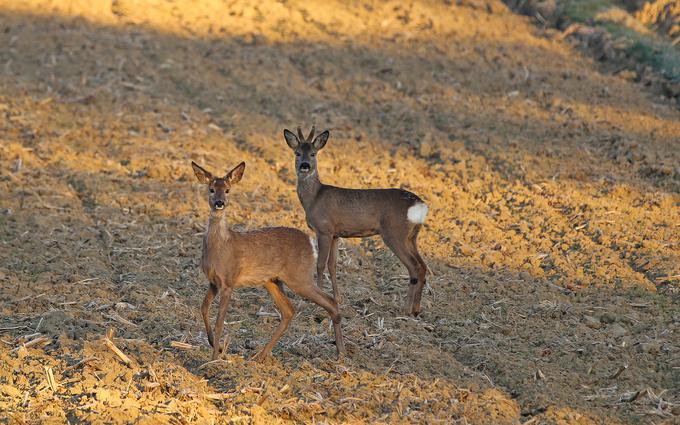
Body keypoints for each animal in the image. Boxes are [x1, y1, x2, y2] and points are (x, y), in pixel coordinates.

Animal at [191, 161, 346, 360]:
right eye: (211, 189)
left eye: (227, 190)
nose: (219, 203)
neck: (220, 246)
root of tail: (310, 242)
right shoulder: (213, 282)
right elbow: (203, 308)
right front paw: (214, 346)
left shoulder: (229, 281)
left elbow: (220, 321)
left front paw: (213, 360)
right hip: (272, 280)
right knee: (288, 310)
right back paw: (260, 356)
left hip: (299, 277)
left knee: (330, 302)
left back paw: (340, 352)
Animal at [284, 127, 428, 316]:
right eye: (297, 153)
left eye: (313, 153)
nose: (305, 165)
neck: (314, 198)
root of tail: (420, 205)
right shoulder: (336, 234)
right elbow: (332, 265)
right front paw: (338, 299)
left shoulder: (324, 229)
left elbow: (320, 264)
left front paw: (316, 302)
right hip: (412, 236)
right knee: (422, 265)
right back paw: (416, 309)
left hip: (395, 233)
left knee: (414, 267)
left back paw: (405, 309)